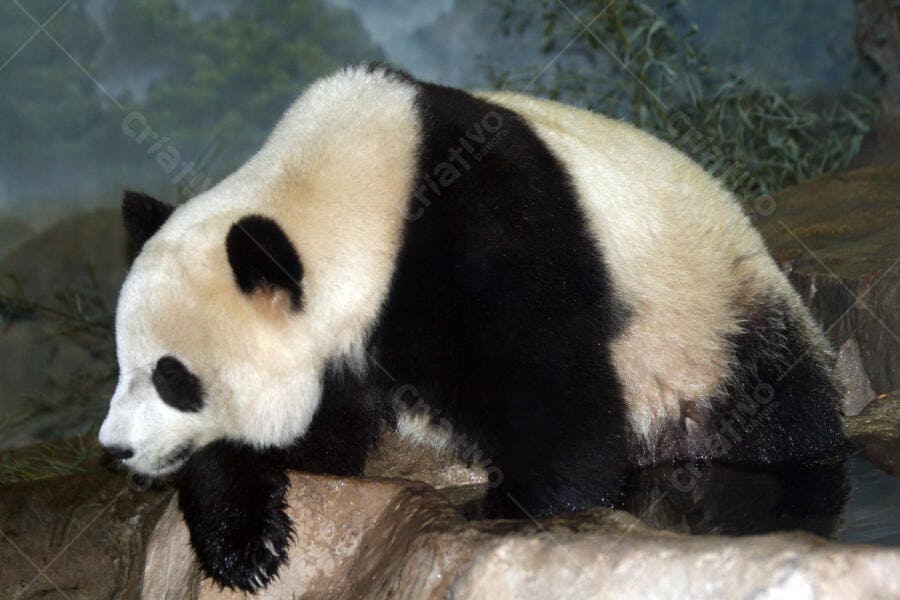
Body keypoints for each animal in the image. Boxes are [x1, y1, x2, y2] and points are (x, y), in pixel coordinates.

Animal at [98, 63, 843, 592]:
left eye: (172, 378)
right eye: (125, 365)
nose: (117, 449)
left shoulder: (490, 226)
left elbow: (556, 401)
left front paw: (513, 516)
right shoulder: (344, 347)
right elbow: (319, 443)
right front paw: (245, 539)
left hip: (711, 322)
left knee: (779, 413)